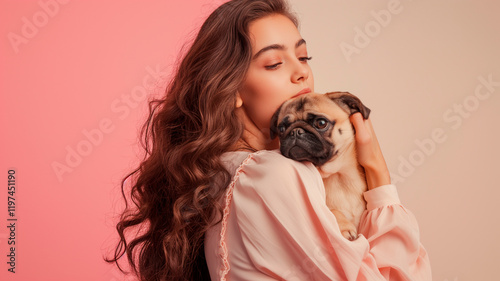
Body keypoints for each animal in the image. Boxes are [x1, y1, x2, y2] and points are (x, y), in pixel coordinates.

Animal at [270, 91, 372, 238]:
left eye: (321, 123)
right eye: (282, 129)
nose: (295, 131)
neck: (336, 175)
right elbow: (333, 211)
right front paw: (345, 227)